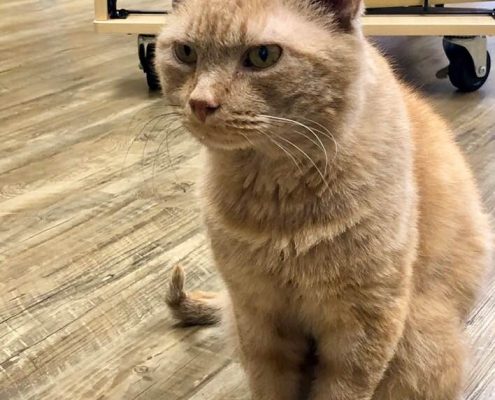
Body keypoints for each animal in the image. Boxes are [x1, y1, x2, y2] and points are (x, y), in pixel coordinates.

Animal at [155, 1, 492, 398]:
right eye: (186, 52)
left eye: (263, 55)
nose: (200, 103)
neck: (277, 198)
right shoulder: (257, 315)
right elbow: (270, 384)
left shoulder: (365, 324)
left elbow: (341, 389)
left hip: (421, 344)